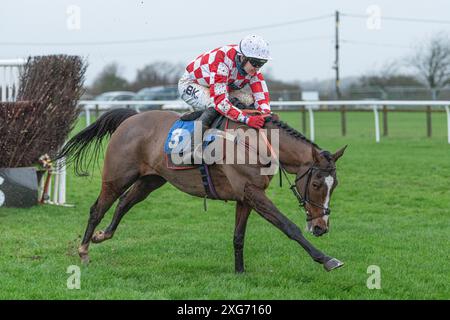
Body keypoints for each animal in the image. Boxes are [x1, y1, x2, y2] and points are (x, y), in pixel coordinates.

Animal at [59, 109, 346, 272]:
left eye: (335, 185)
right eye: (317, 184)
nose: (321, 227)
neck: (257, 143)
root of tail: (130, 119)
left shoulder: (246, 197)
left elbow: (238, 236)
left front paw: (239, 273)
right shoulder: (253, 192)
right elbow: (289, 227)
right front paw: (327, 259)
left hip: (151, 180)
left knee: (124, 203)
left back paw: (102, 235)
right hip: (117, 176)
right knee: (97, 208)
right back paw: (84, 251)